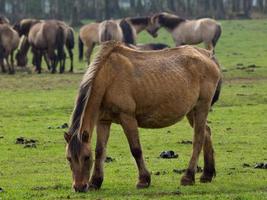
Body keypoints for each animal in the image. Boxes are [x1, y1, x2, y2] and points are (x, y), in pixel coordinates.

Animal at [64, 41, 222, 192]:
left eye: (86, 157)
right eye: (69, 158)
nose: (79, 187)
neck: (108, 78)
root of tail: (208, 55)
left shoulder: (127, 118)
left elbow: (136, 149)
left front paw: (143, 180)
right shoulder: (103, 121)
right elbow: (100, 151)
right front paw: (95, 182)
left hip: (202, 106)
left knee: (198, 139)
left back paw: (188, 177)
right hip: (191, 111)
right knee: (206, 132)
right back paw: (207, 174)